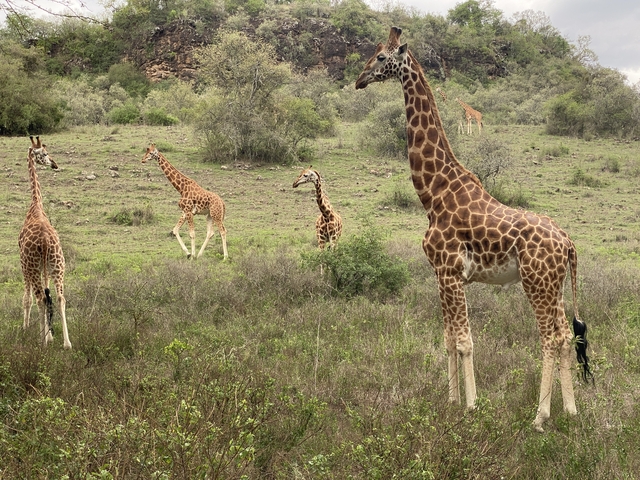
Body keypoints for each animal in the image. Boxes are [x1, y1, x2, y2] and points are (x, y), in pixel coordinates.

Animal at [355, 27, 591, 432]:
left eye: (383, 57)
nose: (359, 79)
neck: (433, 192)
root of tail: (568, 243)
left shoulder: (450, 271)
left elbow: (465, 341)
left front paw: (471, 407)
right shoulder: (442, 274)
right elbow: (449, 339)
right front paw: (450, 402)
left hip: (536, 282)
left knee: (550, 338)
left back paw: (540, 416)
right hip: (554, 285)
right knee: (564, 336)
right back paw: (571, 411)